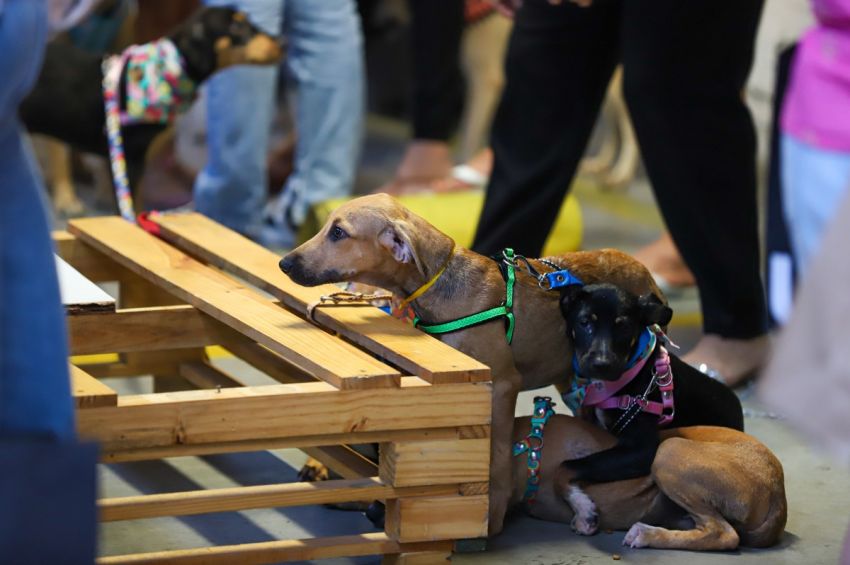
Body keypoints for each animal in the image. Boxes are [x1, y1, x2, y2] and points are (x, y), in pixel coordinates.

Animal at [278, 193, 664, 532]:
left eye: (338, 233)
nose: (284, 263)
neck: (440, 285)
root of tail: (642, 270)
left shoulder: (502, 387)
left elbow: (497, 455)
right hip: (572, 380)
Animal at [506, 412, 784, 548]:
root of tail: (779, 497)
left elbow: (564, 472)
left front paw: (584, 513)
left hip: (669, 451)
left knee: (723, 534)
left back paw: (645, 535)